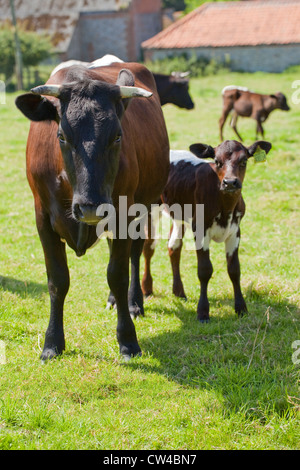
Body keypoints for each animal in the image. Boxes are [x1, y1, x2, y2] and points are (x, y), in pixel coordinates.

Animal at [15, 60, 170, 358]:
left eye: (118, 136)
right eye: (61, 136)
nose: (90, 208)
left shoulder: (124, 214)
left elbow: (118, 274)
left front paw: (128, 339)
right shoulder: (42, 217)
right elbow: (57, 280)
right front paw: (52, 342)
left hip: (142, 206)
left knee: (135, 254)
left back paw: (134, 303)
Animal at [141, 139, 272, 324]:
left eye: (244, 161)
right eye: (217, 161)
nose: (230, 182)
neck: (225, 208)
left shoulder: (235, 231)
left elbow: (234, 269)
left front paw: (241, 308)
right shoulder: (200, 230)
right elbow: (204, 270)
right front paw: (203, 312)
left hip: (179, 215)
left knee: (173, 247)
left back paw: (179, 291)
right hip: (151, 209)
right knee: (148, 247)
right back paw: (147, 289)